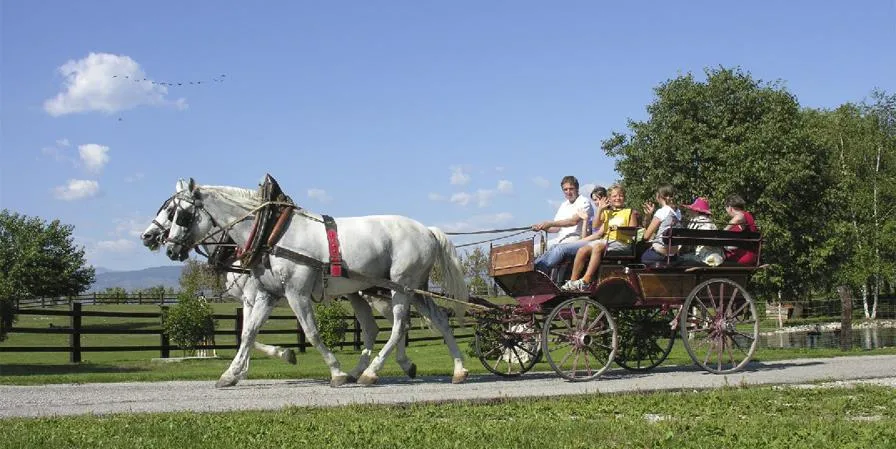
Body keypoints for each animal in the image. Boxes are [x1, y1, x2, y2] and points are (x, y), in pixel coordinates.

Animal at [162, 178, 472, 384]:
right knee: (437, 320)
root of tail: (427, 230)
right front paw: (230, 374)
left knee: (398, 326)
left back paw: (370, 372)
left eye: (181, 214)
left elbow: (311, 332)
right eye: (170, 213)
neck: (272, 232)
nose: (169, 248)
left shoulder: (295, 292)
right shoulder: (267, 294)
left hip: (401, 285)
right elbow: (248, 333)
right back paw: (458, 370)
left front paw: (336, 371)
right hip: (413, 288)